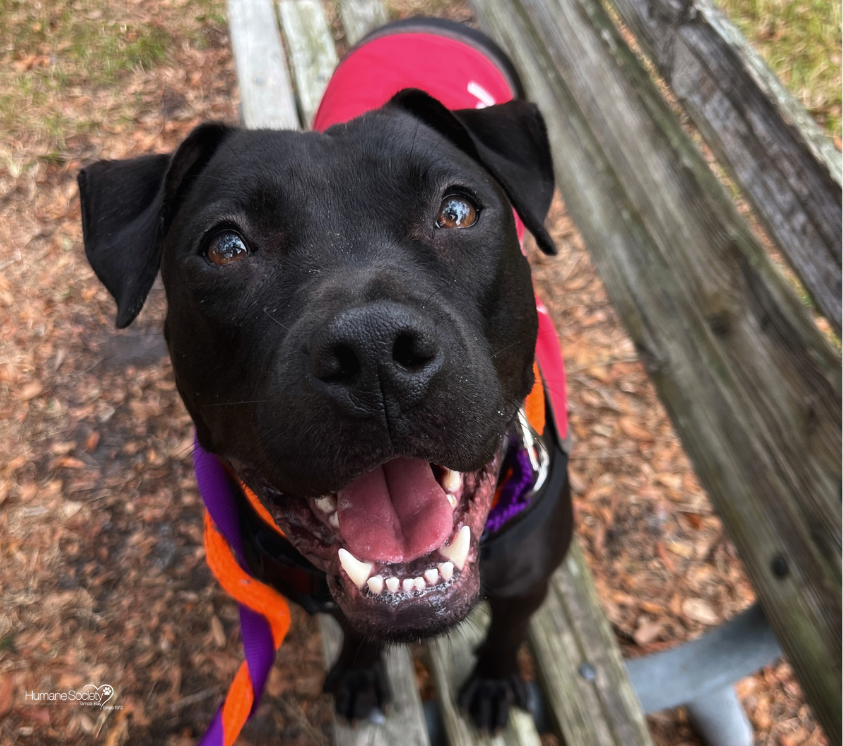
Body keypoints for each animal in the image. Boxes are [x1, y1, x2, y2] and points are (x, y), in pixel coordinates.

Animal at [79, 23, 576, 732]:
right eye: (226, 247)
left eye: (456, 211)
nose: (374, 353)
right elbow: (360, 629)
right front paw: (361, 670)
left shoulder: (528, 581)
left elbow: (507, 630)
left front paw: (493, 679)